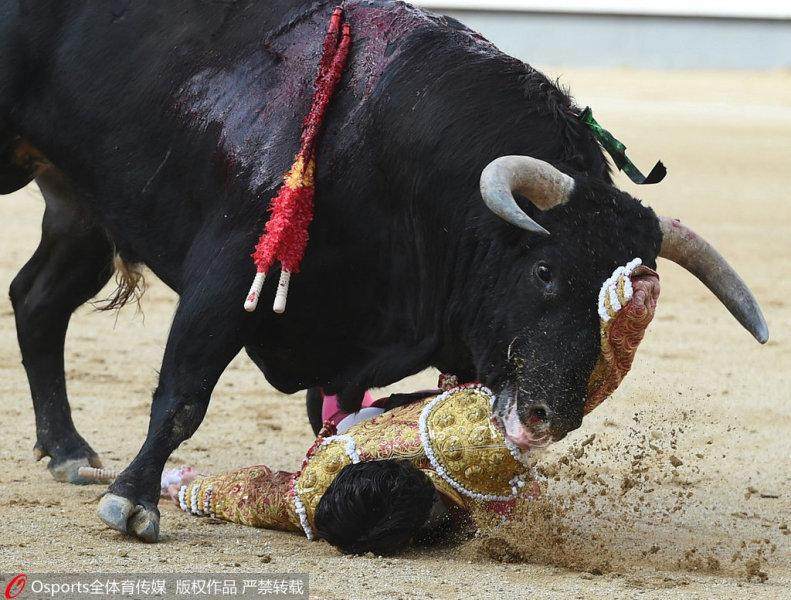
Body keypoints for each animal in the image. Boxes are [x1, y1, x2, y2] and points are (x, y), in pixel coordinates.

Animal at [0, 0, 768, 544]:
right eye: (546, 271)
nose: (548, 418)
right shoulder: (232, 272)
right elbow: (184, 394)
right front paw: (132, 503)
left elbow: (335, 414)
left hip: (81, 208)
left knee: (37, 301)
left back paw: (68, 451)